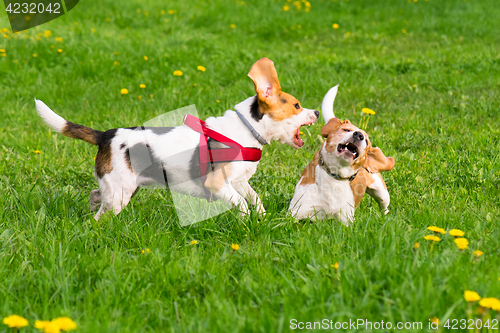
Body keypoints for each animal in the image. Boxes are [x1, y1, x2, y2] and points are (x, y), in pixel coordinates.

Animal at [35, 58, 318, 219]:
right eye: (296, 105)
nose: (316, 112)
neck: (247, 129)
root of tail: (106, 135)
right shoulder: (219, 184)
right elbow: (241, 204)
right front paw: (246, 222)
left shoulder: (239, 181)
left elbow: (255, 200)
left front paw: (261, 219)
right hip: (120, 193)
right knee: (101, 217)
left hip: (125, 188)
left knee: (97, 196)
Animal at [290, 85, 394, 226]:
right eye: (346, 130)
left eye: (366, 141)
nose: (359, 135)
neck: (335, 175)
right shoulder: (296, 213)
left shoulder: (345, 220)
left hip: (382, 193)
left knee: (384, 206)